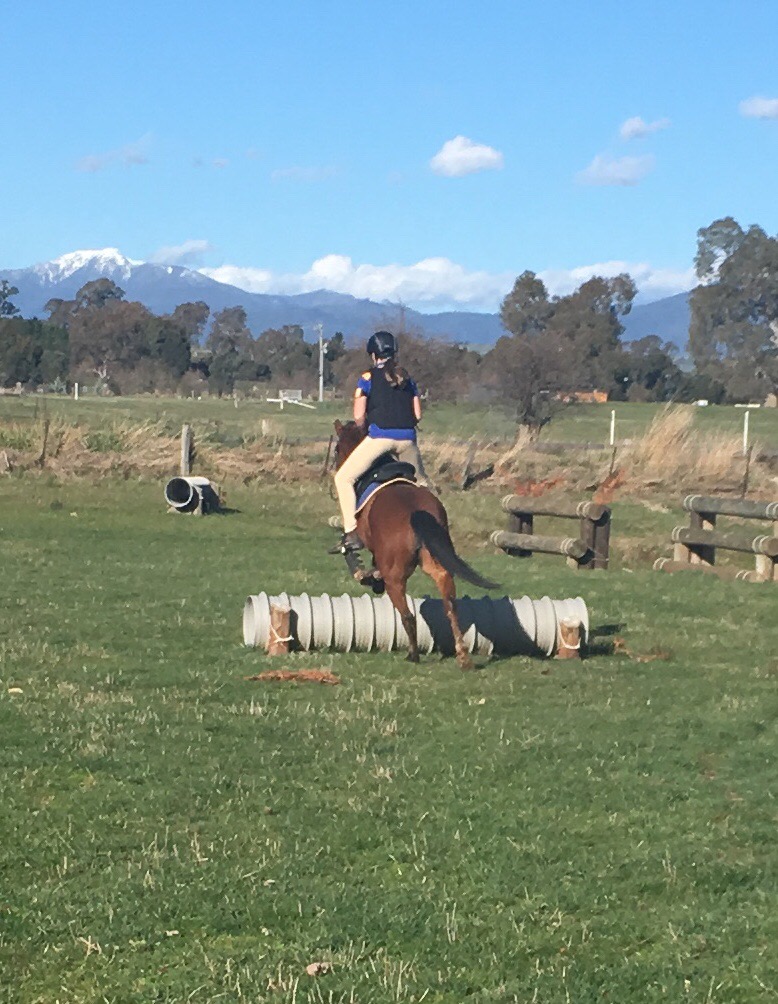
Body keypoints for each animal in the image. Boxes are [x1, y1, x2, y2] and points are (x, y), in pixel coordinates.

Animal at [331, 419, 495, 670]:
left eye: (338, 448)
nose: (337, 466)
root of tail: (417, 512)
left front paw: (367, 574)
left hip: (396, 577)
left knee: (408, 615)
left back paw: (413, 655)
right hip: (437, 565)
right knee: (451, 607)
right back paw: (463, 657)